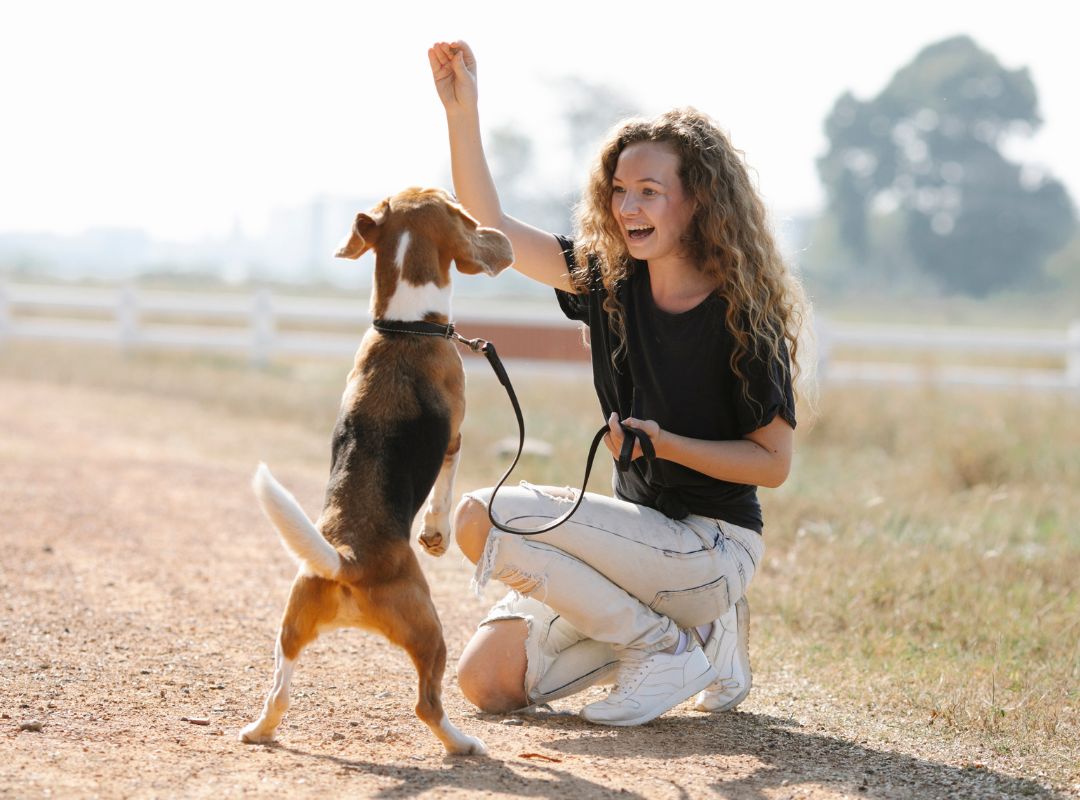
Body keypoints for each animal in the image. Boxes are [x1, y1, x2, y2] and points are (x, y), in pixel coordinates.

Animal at [239, 186, 514, 755]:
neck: (405, 327)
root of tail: (347, 559)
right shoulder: (455, 437)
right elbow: (444, 492)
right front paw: (436, 534)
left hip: (290, 627)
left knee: (278, 693)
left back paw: (258, 730)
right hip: (430, 631)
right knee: (427, 704)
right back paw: (463, 743)